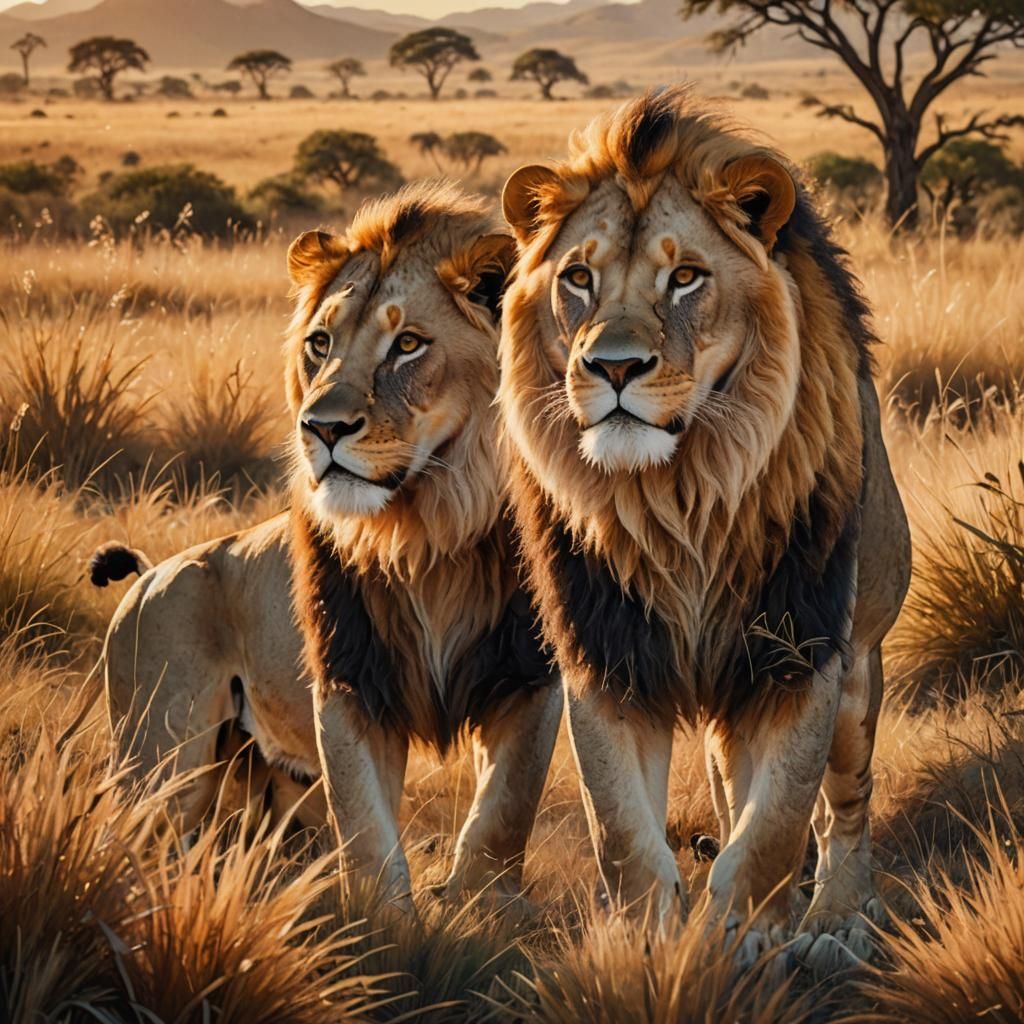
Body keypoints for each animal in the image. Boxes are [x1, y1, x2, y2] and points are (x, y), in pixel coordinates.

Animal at [98, 182, 561, 909]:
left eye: (407, 344)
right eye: (320, 343)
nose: (319, 427)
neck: (430, 532)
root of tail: (147, 577)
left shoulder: (530, 676)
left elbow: (504, 813)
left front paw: (480, 911)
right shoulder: (349, 681)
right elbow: (368, 836)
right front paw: (389, 930)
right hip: (160, 755)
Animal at [497, 88, 911, 942]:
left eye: (685, 276)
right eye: (578, 277)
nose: (614, 367)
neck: (679, 499)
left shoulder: (799, 653)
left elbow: (774, 825)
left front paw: (746, 940)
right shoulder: (607, 655)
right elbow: (623, 832)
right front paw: (648, 944)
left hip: (860, 666)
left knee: (846, 805)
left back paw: (841, 911)